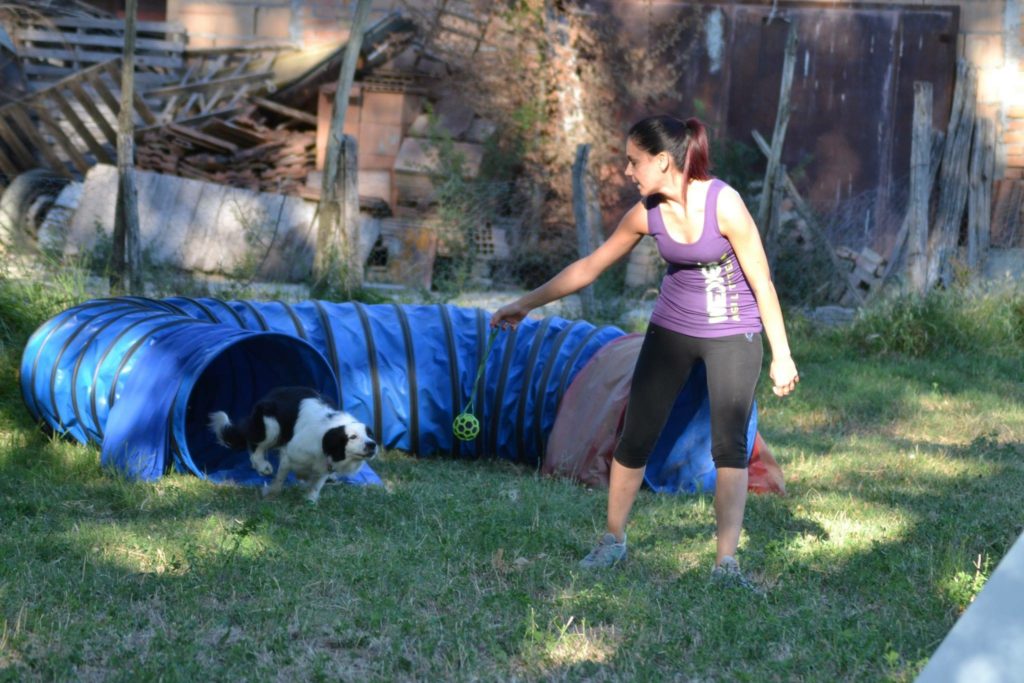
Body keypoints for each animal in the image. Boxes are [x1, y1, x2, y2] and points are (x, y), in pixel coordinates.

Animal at [207, 387, 380, 505]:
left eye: (370, 435)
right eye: (353, 437)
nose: (372, 445)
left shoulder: (325, 466)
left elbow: (316, 485)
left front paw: (310, 501)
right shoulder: (289, 455)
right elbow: (280, 478)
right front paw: (270, 494)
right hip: (271, 424)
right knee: (256, 446)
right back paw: (262, 465)